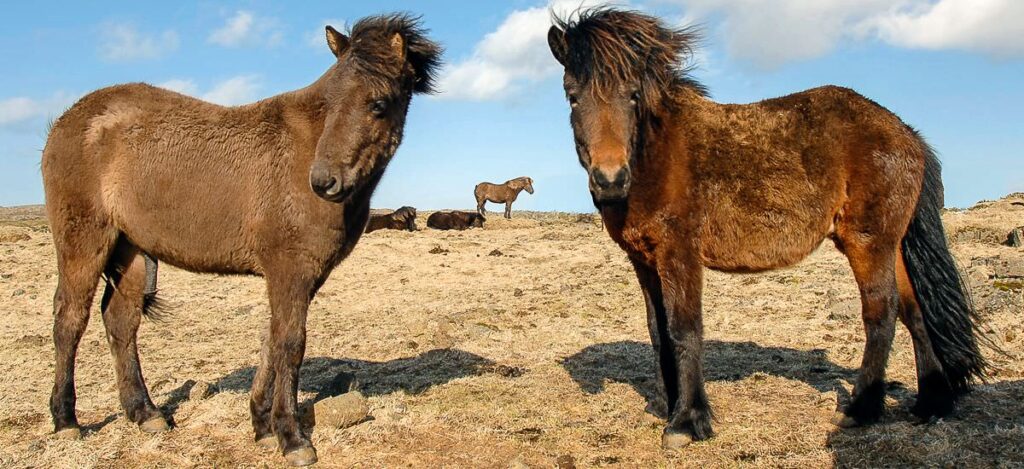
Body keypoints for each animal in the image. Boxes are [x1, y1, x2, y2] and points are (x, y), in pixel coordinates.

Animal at [41, 14, 441, 466]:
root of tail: (68, 120)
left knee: (120, 321)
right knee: (70, 319)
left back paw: (145, 413)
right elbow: (290, 344)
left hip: (131, 250)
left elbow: (271, 341)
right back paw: (66, 419)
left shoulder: (301, 275)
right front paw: (292, 437)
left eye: (378, 104)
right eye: (330, 101)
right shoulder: (289, 269)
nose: (324, 182)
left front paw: (262, 426)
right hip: (84, 240)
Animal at [547, 8, 987, 450]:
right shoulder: (643, 259)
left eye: (633, 95)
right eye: (572, 96)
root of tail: (906, 132)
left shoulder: (679, 254)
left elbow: (684, 328)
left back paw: (861, 409)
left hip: (868, 242)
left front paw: (687, 422)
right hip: (891, 244)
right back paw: (931, 403)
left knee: (882, 313)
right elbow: (659, 332)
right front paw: (666, 406)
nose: (609, 181)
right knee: (915, 312)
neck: (655, 154)